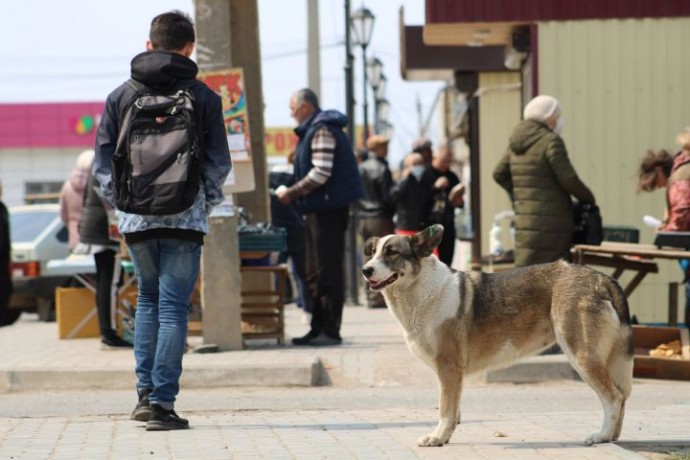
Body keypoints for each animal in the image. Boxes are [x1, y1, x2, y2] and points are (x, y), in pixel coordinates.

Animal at [362, 225, 632, 448]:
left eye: (392, 252)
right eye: (372, 253)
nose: (365, 270)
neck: (422, 290)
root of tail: (601, 278)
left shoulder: (448, 368)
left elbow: (445, 410)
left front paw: (437, 438)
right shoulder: (453, 375)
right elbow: (454, 411)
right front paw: (446, 436)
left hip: (582, 356)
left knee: (613, 397)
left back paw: (601, 436)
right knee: (621, 396)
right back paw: (613, 436)